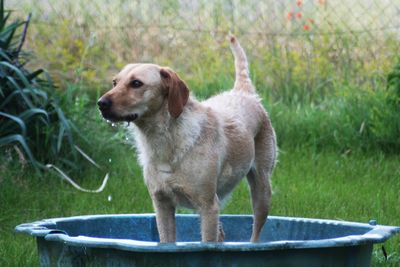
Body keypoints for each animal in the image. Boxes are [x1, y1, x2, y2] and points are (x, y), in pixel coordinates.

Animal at [98, 36, 276, 245]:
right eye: (114, 82)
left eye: (136, 83)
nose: (101, 103)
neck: (166, 141)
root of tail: (244, 92)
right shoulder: (162, 205)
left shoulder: (208, 206)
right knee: (222, 233)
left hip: (262, 190)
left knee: (255, 233)